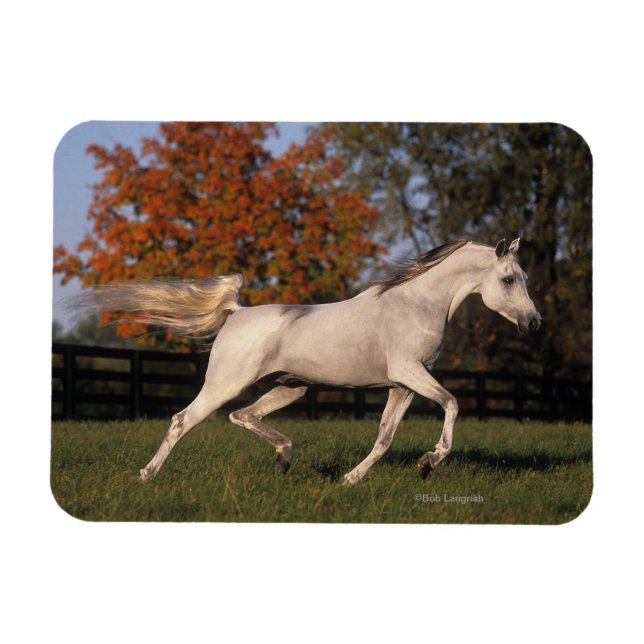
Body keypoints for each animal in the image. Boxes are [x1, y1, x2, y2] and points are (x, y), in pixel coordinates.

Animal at [82, 237, 541, 485]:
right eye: (508, 279)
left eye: (523, 278)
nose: (533, 322)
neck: (415, 304)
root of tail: (236, 312)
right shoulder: (410, 372)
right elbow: (452, 403)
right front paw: (430, 461)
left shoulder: (403, 385)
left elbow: (385, 437)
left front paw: (351, 479)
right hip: (225, 385)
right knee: (183, 420)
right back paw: (146, 475)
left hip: (291, 387)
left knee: (243, 416)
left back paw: (285, 457)